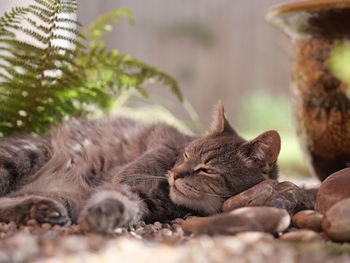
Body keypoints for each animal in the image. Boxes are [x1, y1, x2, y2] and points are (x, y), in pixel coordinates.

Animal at [0, 102, 280, 234]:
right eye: (186, 154)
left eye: (207, 170)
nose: (176, 174)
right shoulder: (161, 143)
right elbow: (134, 170)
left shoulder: (139, 200)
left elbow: (117, 202)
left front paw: (101, 215)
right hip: (23, 155)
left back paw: (42, 209)